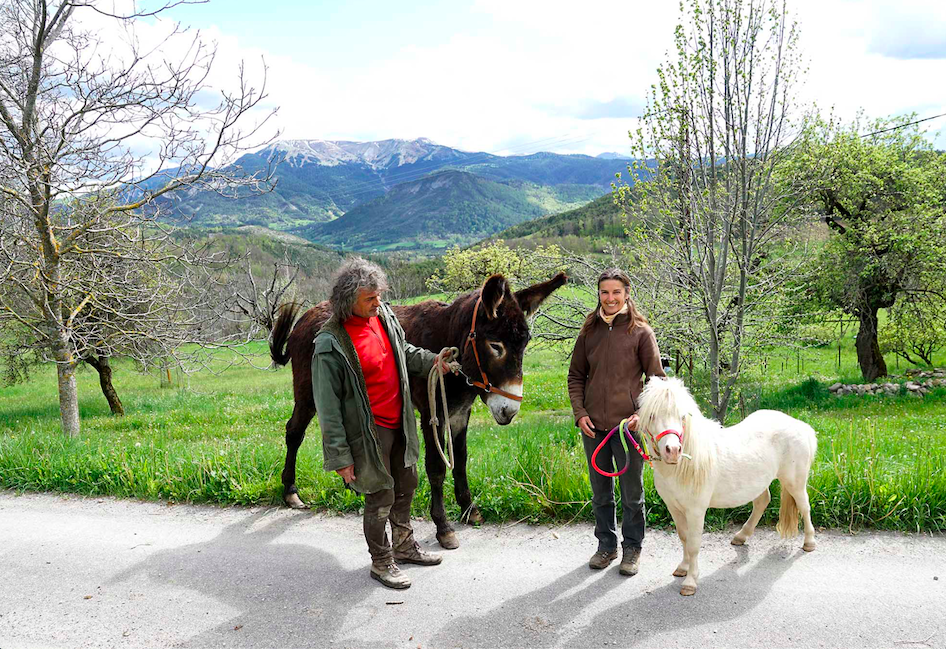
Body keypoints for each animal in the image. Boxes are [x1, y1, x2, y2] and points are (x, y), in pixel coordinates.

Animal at [636, 378, 816, 596]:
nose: (673, 450)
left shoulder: (696, 510)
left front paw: (690, 582)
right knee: (762, 502)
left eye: (681, 417)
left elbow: (694, 544)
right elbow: (684, 538)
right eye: (652, 415)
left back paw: (809, 542)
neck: (683, 466)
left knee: (804, 507)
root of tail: (801, 426)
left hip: (795, 482)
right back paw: (741, 536)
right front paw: (683, 568)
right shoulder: (674, 508)